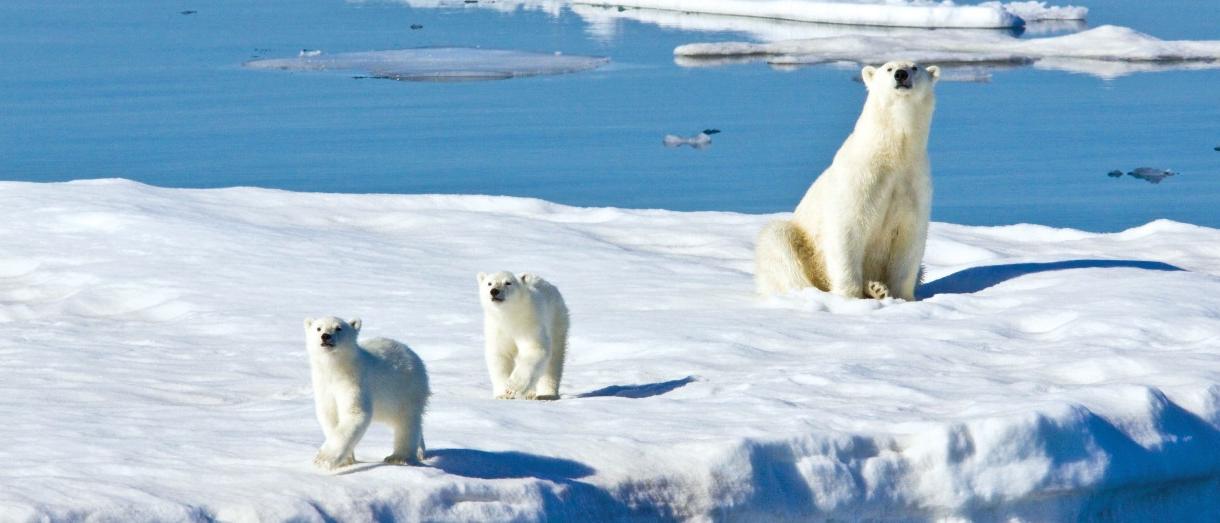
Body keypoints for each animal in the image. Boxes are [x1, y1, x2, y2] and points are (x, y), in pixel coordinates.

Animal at [303, 316, 429, 465]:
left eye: (338, 328)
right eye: (318, 328)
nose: (325, 336)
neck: (336, 370)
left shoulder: (354, 382)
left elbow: (355, 413)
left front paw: (324, 459)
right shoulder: (324, 386)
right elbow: (330, 415)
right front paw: (347, 460)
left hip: (407, 388)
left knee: (406, 421)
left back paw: (399, 457)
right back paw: (419, 451)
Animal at [475, 269, 570, 399]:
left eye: (508, 283)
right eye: (489, 283)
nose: (494, 291)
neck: (510, 316)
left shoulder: (529, 323)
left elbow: (534, 349)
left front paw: (513, 386)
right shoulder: (498, 328)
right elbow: (500, 356)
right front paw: (503, 394)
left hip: (556, 319)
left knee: (554, 360)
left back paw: (546, 394)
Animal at [751, 59, 941, 299]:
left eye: (915, 68)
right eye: (888, 68)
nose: (901, 74)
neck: (894, 153)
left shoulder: (913, 182)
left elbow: (909, 239)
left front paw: (903, 297)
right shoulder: (860, 179)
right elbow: (847, 230)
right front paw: (851, 296)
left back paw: (876, 288)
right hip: (799, 243)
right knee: (779, 243)